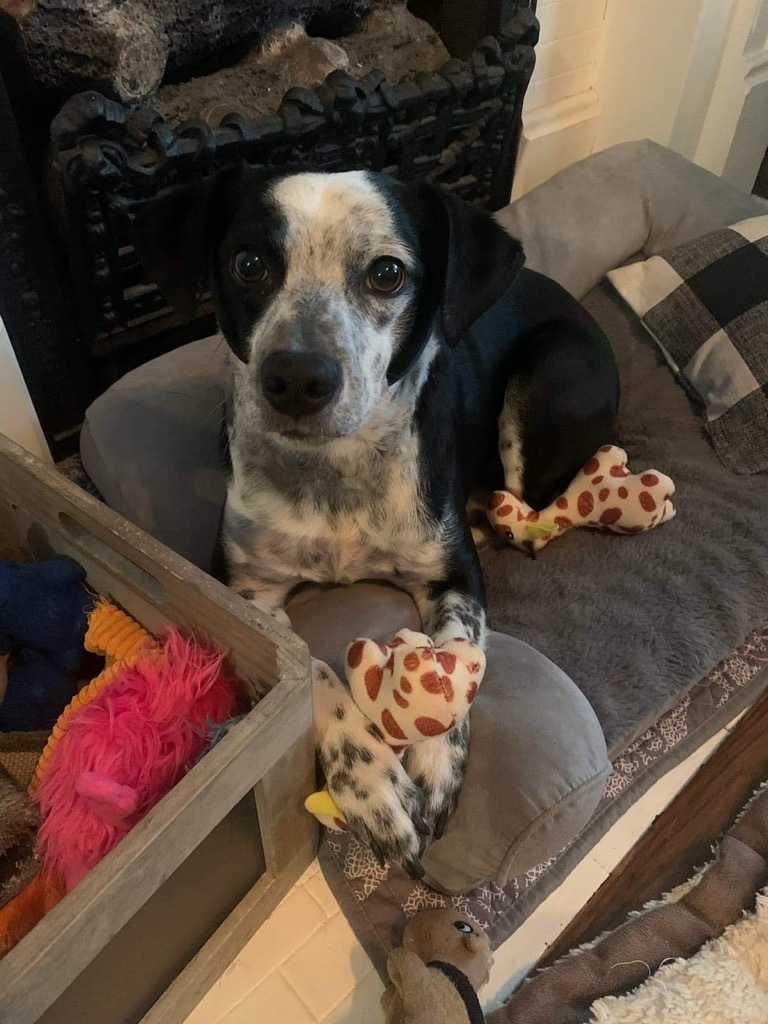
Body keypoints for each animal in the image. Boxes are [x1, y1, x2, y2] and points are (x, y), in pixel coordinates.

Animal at [135, 167, 622, 872]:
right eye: (248, 263)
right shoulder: (245, 592)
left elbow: (456, 650)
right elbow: (306, 668)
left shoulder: (454, 576)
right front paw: (372, 784)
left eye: (387, 273)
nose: (297, 378)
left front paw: (436, 760)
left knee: (534, 512)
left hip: (542, 388)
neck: (335, 471)